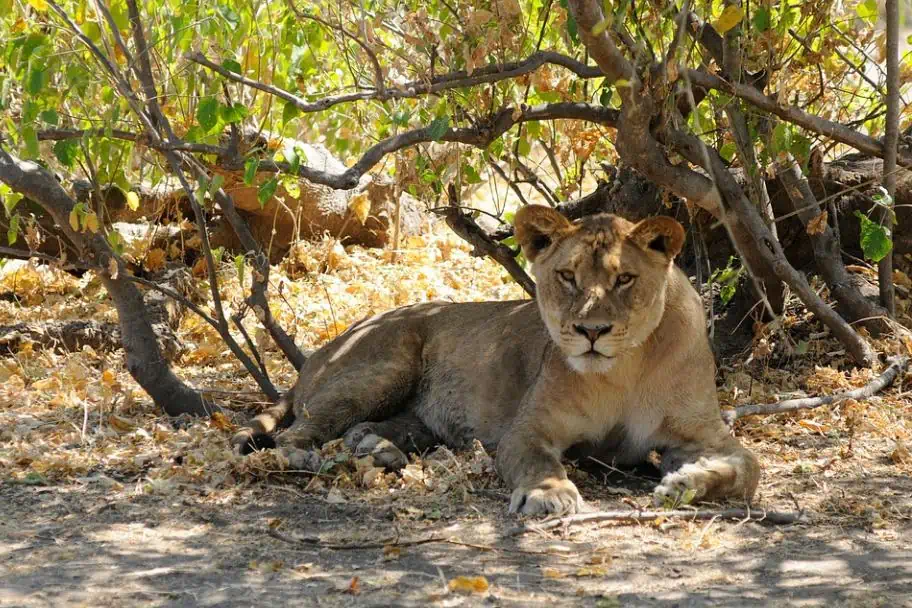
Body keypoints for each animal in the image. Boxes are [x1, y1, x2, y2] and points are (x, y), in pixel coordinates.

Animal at [233, 205, 761, 514]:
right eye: (568, 276)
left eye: (624, 279)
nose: (591, 332)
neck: (624, 371)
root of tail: (320, 352)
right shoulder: (527, 430)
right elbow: (537, 460)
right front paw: (550, 493)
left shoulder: (701, 433)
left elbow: (750, 468)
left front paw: (686, 483)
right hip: (385, 365)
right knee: (299, 432)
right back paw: (301, 457)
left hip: (411, 413)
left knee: (363, 430)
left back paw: (380, 452)